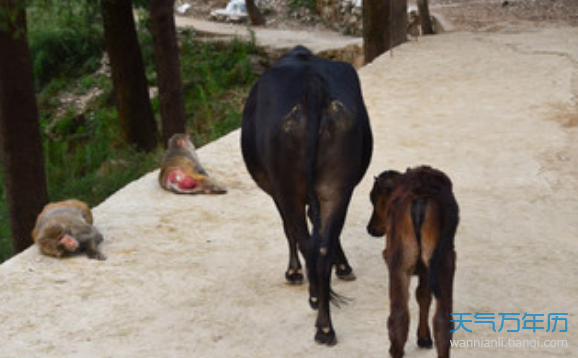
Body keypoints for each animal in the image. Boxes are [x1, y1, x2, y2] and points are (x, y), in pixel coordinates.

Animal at [240, 46, 372, 346]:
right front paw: (343, 267)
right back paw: (325, 324)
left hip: (287, 188)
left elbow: (289, 228)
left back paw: (317, 311)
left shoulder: (277, 191)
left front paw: (294, 273)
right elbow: (322, 227)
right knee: (322, 245)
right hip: (338, 186)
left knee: (305, 241)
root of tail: (312, 85)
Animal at [366, 166, 456, 358]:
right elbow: (423, 295)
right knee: (443, 321)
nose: (371, 229)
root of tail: (421, 194)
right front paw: (424, 338)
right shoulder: (426, 269)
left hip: (400, 260)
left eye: (373, 197)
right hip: (443, 260)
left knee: (398, 319)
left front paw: (423, 338)